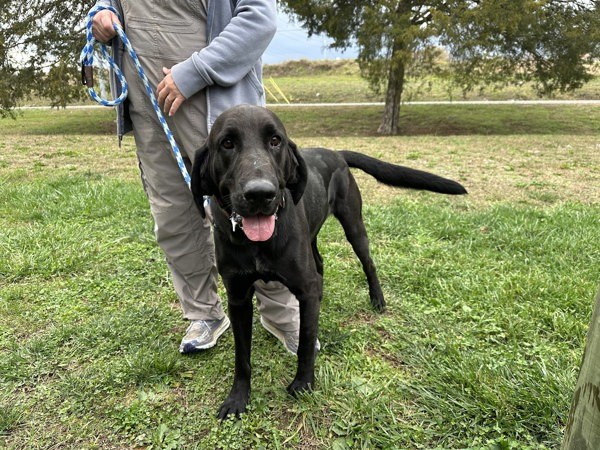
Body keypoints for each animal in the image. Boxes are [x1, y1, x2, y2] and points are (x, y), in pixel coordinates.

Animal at [190, 103, 466, 418]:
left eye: (275, 141)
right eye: (227, 143)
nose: (260, 193)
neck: (256, 243)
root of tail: (336, 152)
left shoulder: (304, 289)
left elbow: (306, 341)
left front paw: (303, 383)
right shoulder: (238, 298)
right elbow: (242, 355)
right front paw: (237, 397)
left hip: (354, 226)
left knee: (367, 263)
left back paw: (378, 299)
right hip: (312, 236)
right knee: (320, 265)